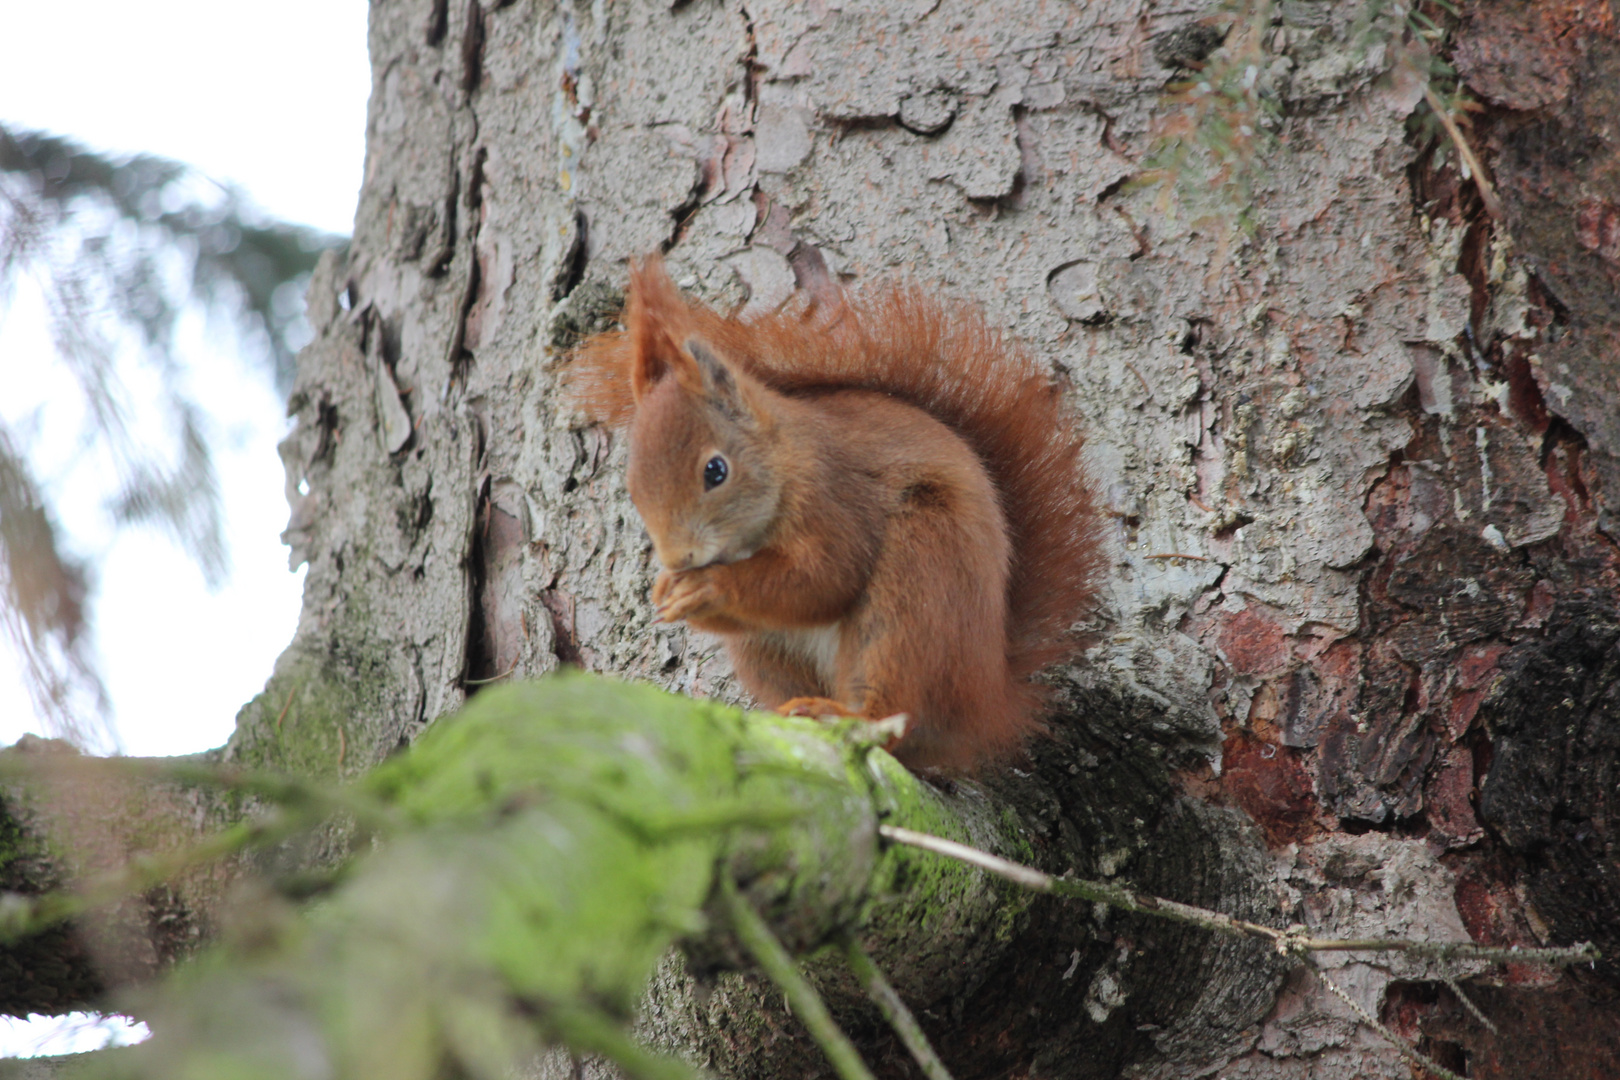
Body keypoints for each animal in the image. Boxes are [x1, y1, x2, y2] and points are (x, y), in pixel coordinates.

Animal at [563, 257, 1108, 773]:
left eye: (715, 471)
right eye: (632, 489)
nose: (679, 559)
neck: (784, 462)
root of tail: (988, 701)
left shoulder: (834, 499)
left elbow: (825, 578)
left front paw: (708, 586)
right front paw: (667, 591)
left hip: (920, 580)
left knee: (895, 712)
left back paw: (847, 716)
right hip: (765, 651)